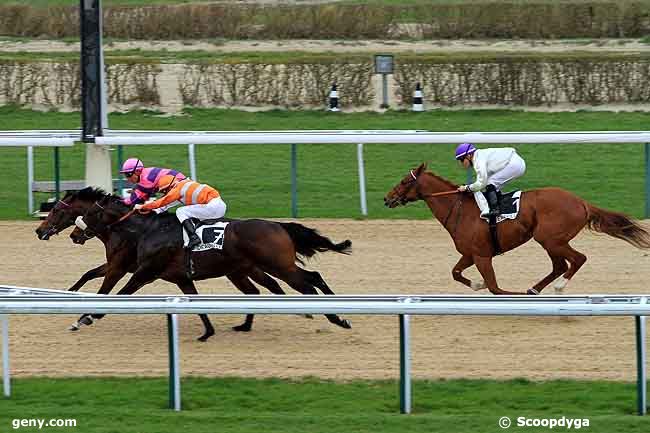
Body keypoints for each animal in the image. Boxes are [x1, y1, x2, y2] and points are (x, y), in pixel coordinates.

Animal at [382, 162, 648, 294]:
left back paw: (558, 286)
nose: (387, 198)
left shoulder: (482, 256)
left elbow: (496, 289)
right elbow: (456, 273)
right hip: (550, 241)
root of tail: (581, 202)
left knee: (577, 259)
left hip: (550, 238)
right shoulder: (469, 253)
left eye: (404, 181)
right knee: (560, 265)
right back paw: (534, 289)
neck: (459, 209)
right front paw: (476, 284)